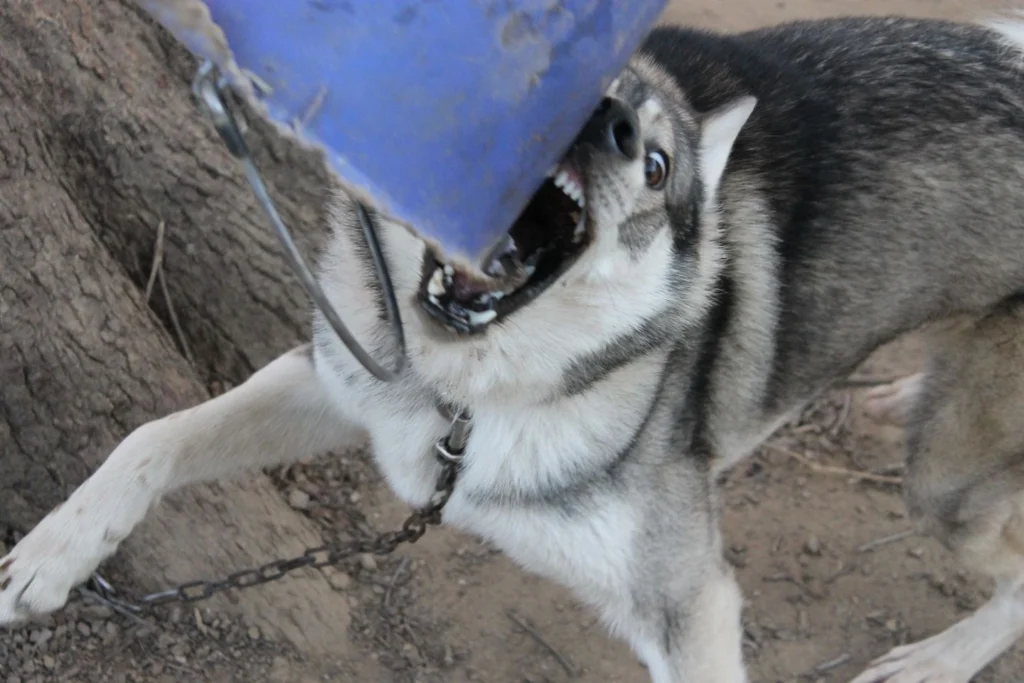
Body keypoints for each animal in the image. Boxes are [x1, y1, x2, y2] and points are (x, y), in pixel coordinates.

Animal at [6, 10, 1024, 683]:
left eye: (657, 164)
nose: (605, 122)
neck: (466, 397)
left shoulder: (689, 601)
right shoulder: (345, 382)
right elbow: (153, 436)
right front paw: (50, 555)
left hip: (944, 487)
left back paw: (934, 659)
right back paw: (893, 397)